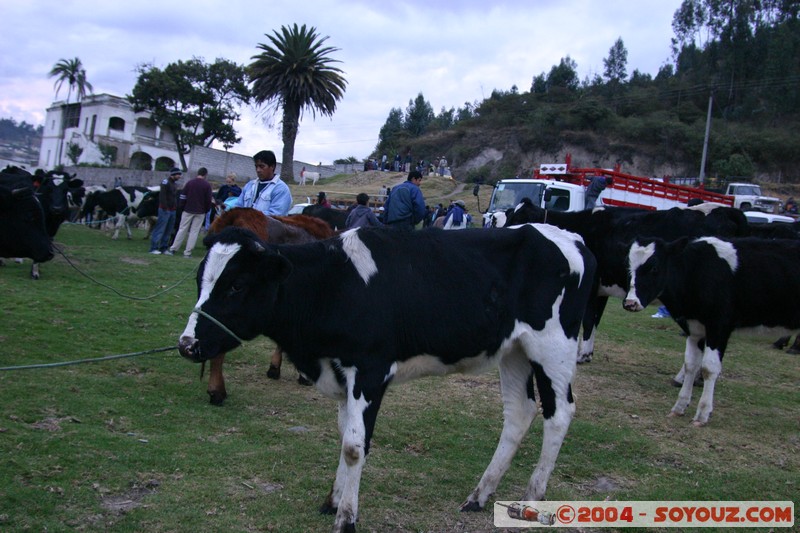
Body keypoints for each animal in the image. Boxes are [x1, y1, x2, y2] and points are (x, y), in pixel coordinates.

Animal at [504, 197, 748, 364]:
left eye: (520, 218)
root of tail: (727, 211)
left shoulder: (591, 286)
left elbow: (587, 320)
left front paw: (581, 355)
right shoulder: (602, 289)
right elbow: (595, 320)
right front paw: (587, 352)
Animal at [624, 236, 800, 424]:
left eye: (654, 267)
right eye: (630, 266)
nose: (630, 303)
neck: (697, 271)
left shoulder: (719, 327)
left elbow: (709, 368)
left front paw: (702, 413)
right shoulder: (695, 330)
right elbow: (690, 365)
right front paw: (679, 406)